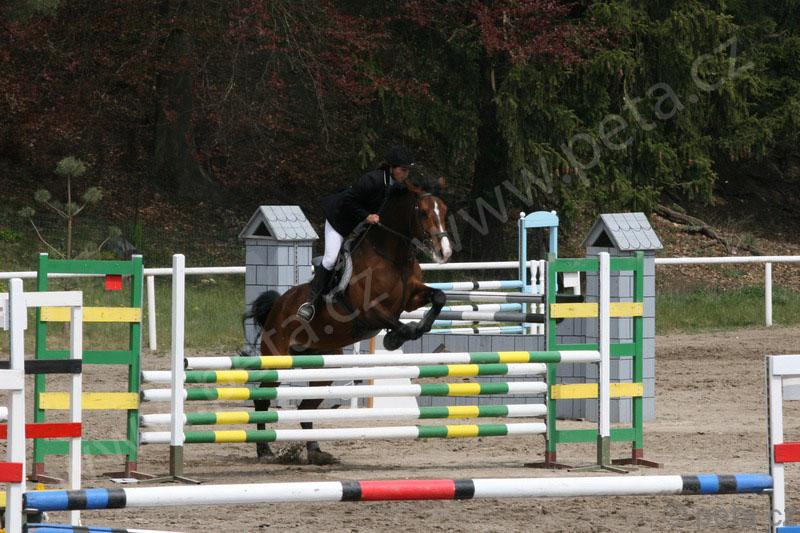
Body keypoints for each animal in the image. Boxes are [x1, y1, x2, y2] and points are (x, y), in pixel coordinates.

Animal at [245, 174, 452, 464]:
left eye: (443, 211)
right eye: (422, 212)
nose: (444, 252)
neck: (392, 256)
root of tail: (277, 306)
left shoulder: (411, 298)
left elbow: (439, 297)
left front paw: (419, 328)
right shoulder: (368, 311)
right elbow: (396, 324)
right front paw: (395, 339)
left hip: (322, 365)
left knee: (306, 407)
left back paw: (316, 452)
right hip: (277, 359)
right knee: (263, 398)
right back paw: (265, 449)